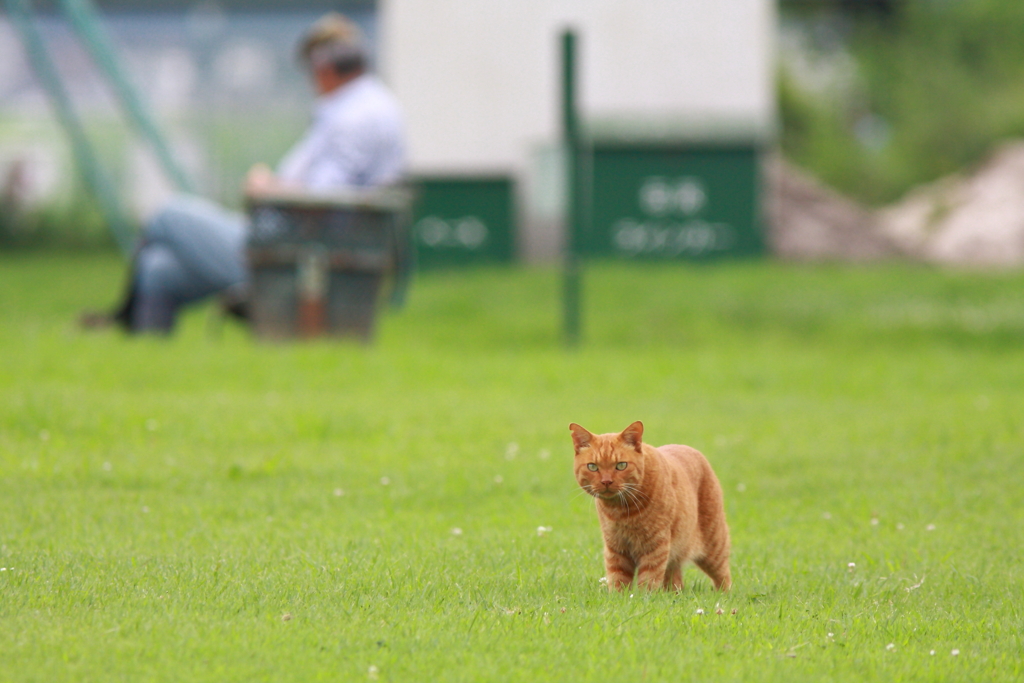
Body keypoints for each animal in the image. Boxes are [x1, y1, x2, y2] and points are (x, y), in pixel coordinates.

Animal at [573, 419, 733, 589]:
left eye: (621, 465)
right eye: (592, 466)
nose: (606, 481)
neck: (621, 510)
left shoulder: (655, 546)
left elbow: (648, 581)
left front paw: (644, 595)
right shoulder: (615, 547)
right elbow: (618, 579)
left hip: (714, 546)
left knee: (724, 577)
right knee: (675, 582)